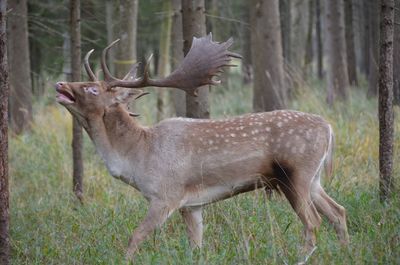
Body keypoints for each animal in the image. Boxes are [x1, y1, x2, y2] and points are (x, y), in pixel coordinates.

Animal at [54, 33, 348, 260]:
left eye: (92, 89)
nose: (60, 83)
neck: (137, 156)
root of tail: (329, 128)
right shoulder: (192, 205)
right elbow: (196, 247)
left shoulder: (166, 195)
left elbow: (135, 237)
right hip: (313, 179)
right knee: (338, 211)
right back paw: (347, 251)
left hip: (295, 174)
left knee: (313, 222)